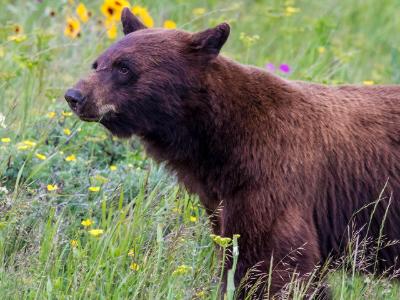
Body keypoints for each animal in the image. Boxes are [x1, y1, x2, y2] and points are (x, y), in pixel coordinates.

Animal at [65, 8, 400, 298]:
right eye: (98, 63)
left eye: (124, 67)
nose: (74, 95)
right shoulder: (223, 199)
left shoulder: (273, 179)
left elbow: (274, 263)